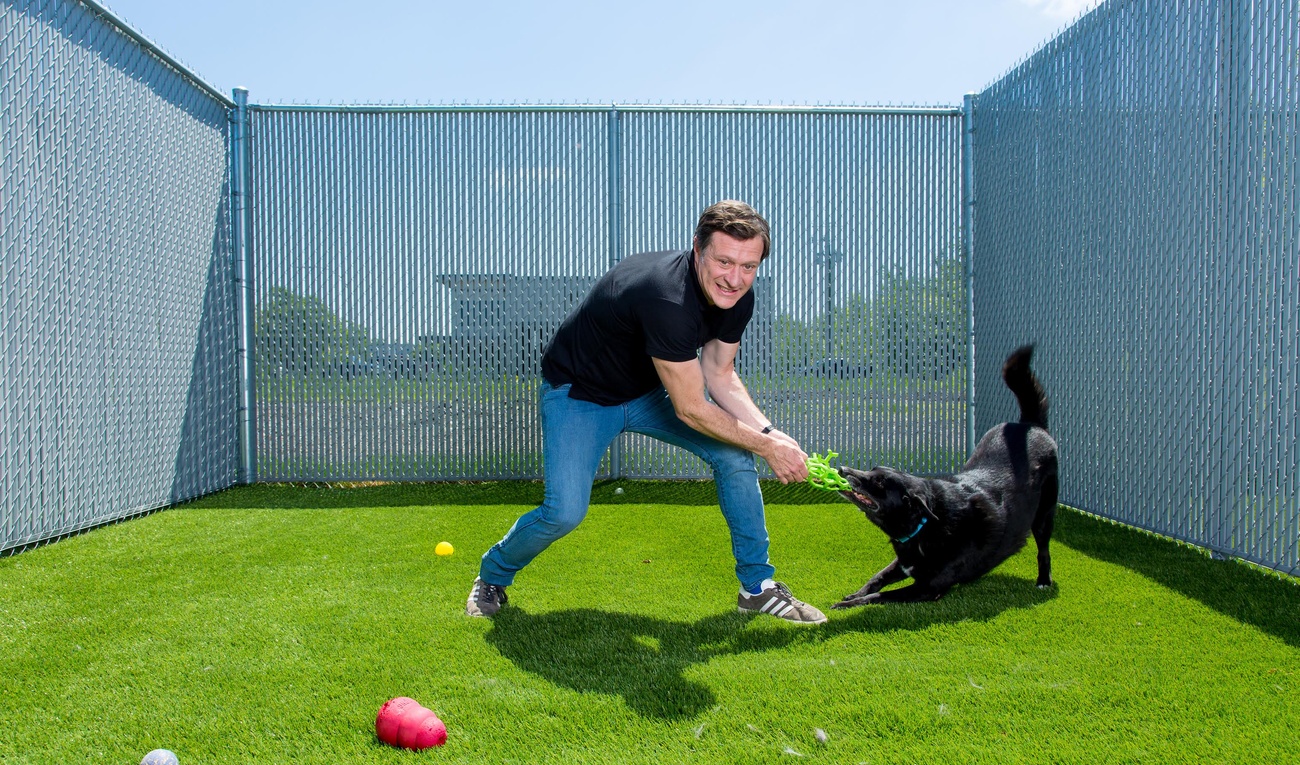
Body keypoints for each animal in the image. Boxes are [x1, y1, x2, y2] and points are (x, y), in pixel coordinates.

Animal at [832, 343, 1055, 606]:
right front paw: (855, 593)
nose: (842, 470)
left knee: (1044, 550)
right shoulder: (905, 562)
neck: (925, 522)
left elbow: (880, 595)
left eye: (878, 481)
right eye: (873, 469)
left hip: (1045, 513)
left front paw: (849, 603)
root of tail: (1030, 425)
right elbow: (877, 578)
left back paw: (1043, 581)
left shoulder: (928, 587)